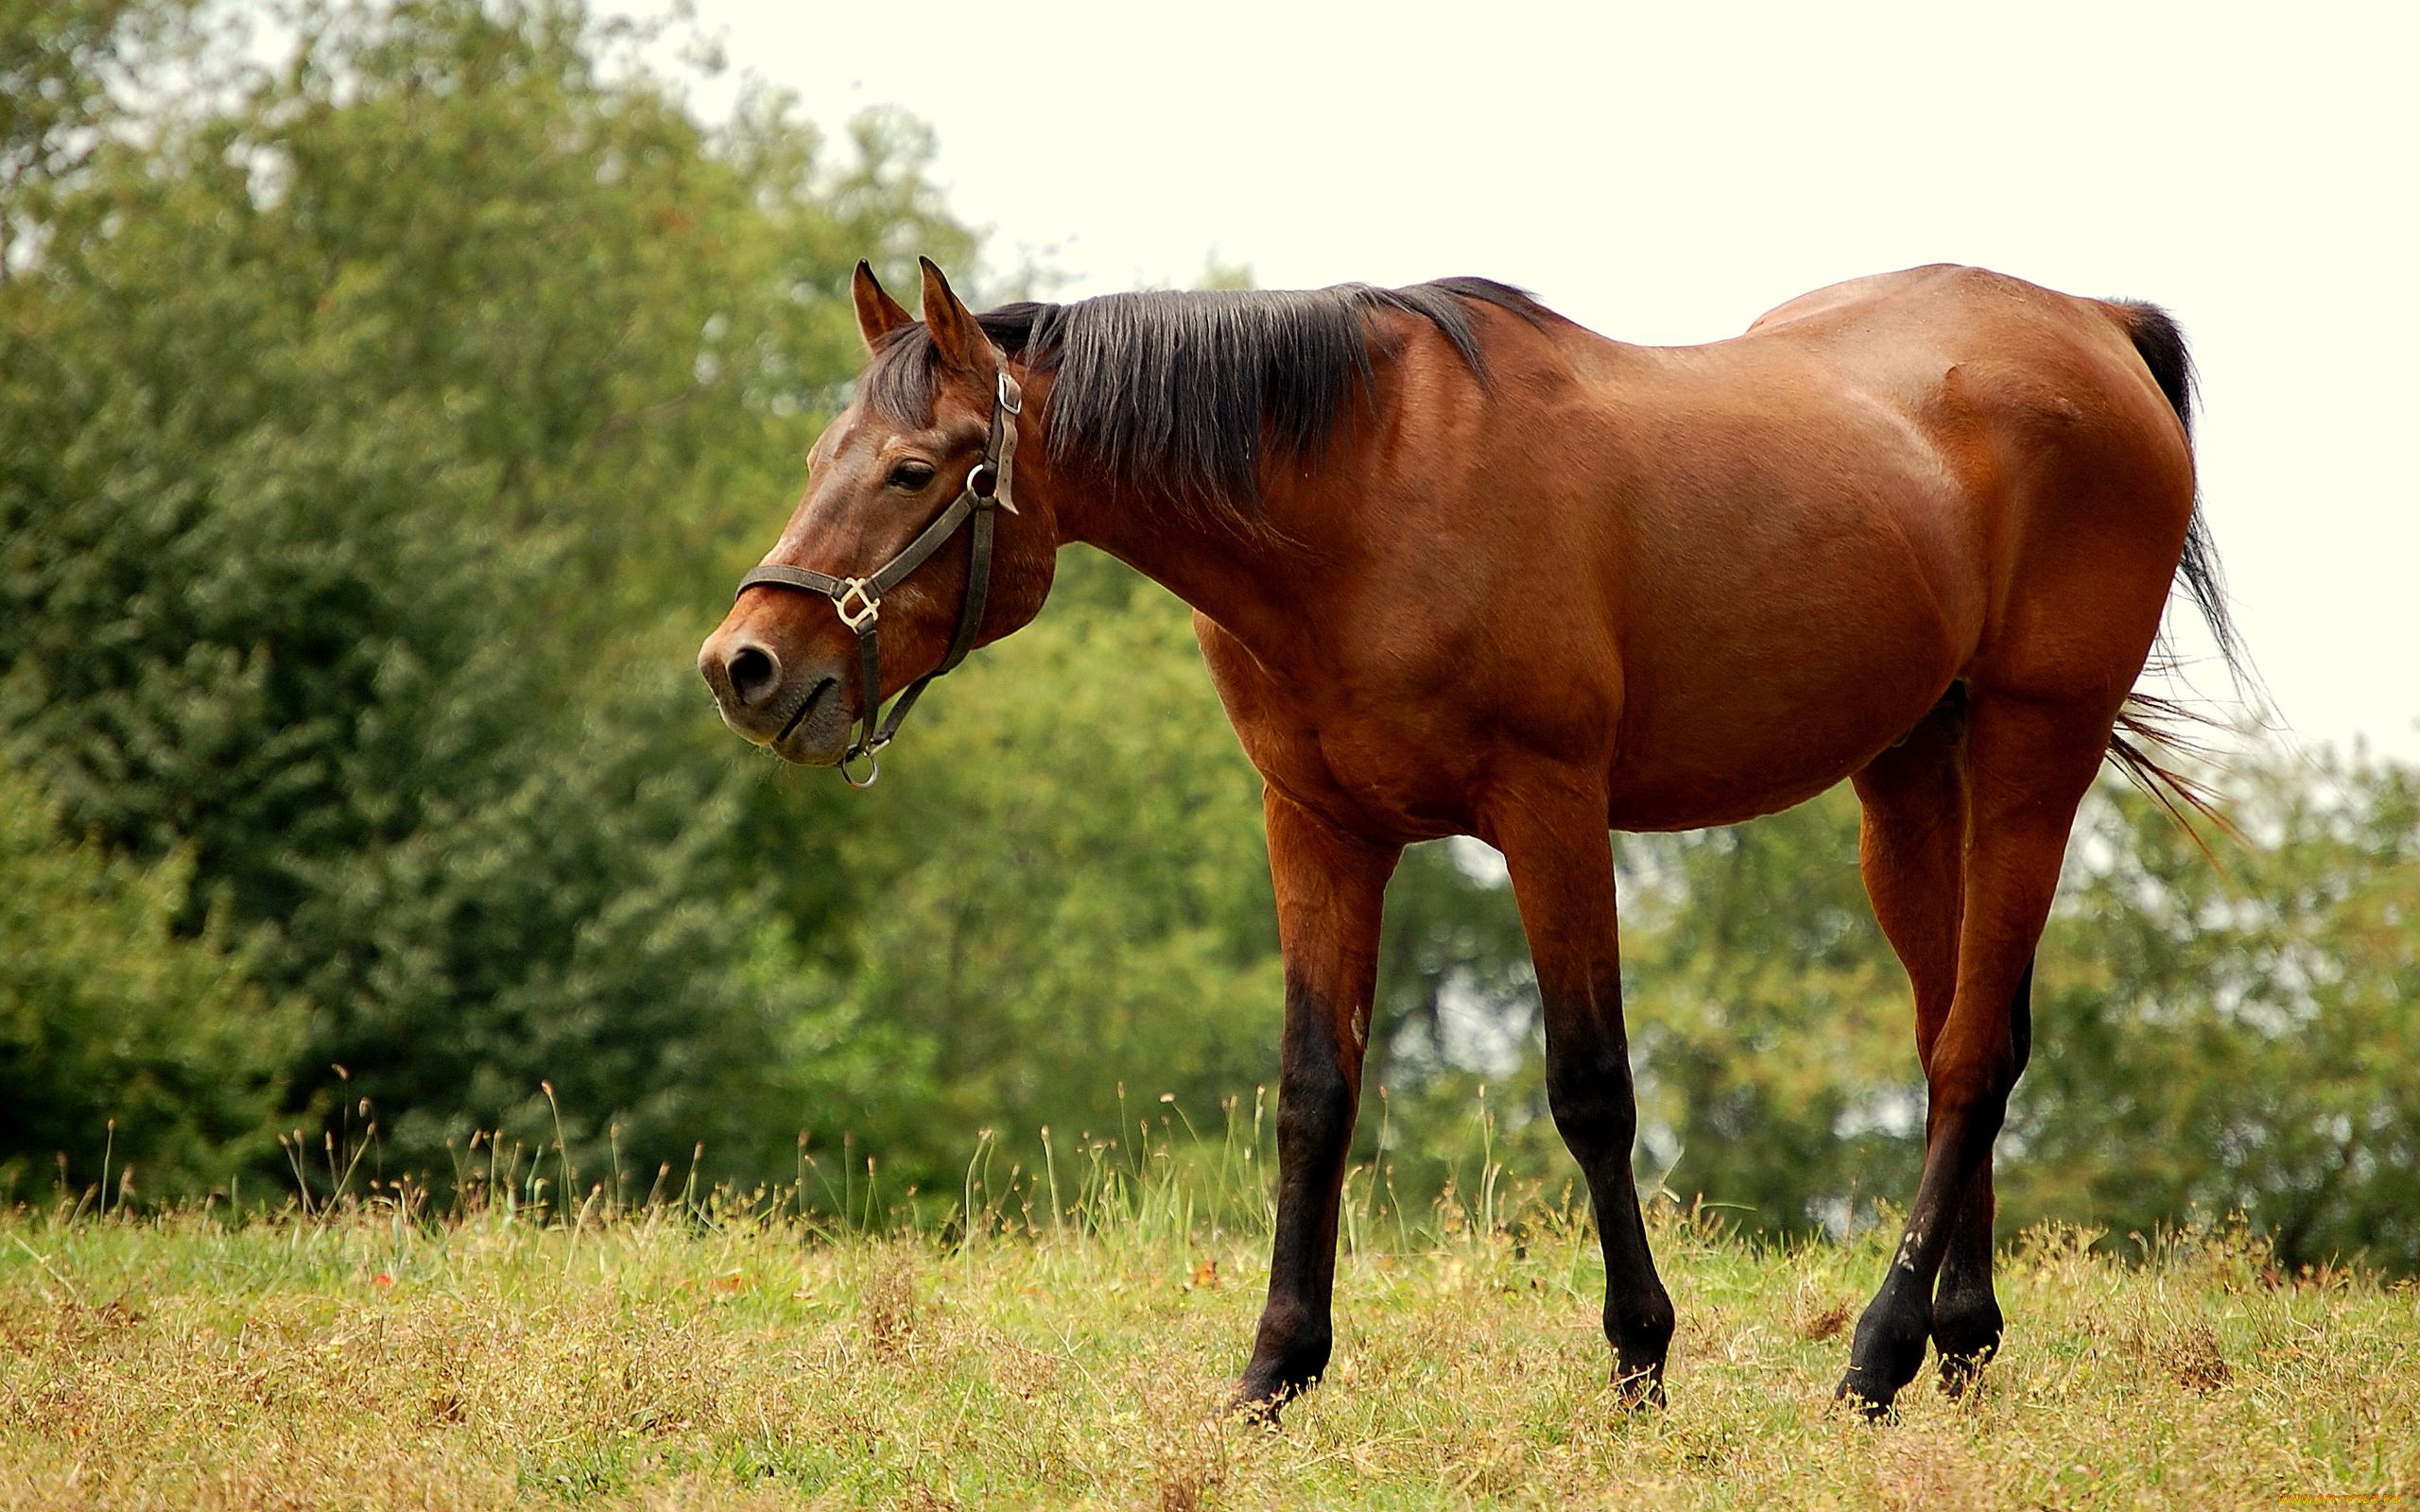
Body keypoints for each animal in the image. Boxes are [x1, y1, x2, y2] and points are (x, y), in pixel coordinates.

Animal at [701, 253, 2245, 1422]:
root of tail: (2089, 325)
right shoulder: (1319, 829)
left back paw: (1874, 1357)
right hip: (1909, 771)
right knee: (1949, 1035)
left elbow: (1590, 1088)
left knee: (1977, 1048)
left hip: (2035, 747)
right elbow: (1313, 1096)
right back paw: (1956, 1347)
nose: (744, 666)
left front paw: (1639, 1362)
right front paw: (1274, 1372)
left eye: (914, 471)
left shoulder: (1550, 810)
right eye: (820, 456)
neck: (1354, 494)